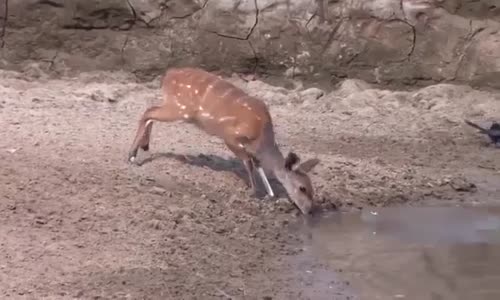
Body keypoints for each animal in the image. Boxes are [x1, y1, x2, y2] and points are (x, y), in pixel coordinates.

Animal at [126, 67, 320, 214]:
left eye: (312, 189)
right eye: (302, 188)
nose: (308, 211)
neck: (261, 137)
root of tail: (168, 75)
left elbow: (257, 164)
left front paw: (270, 195)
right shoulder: (231, 137)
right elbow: (248, 162)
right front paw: (254, 192)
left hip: (176, 107)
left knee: (150, 112)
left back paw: (144, 146)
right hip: (180, 109)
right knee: (148, 112)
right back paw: (132, 156)